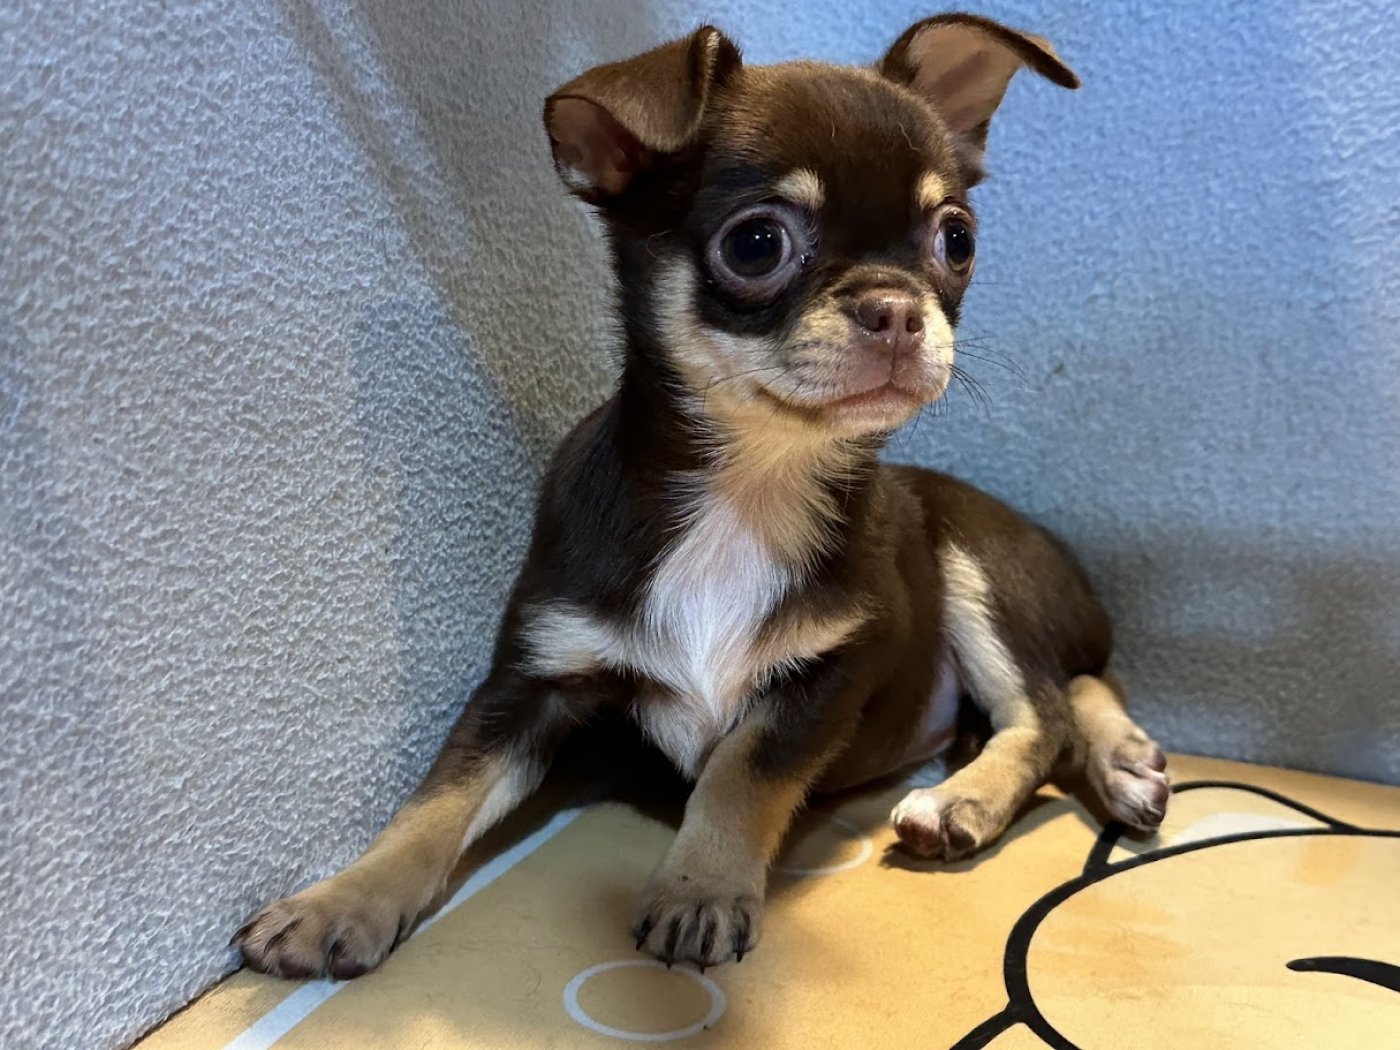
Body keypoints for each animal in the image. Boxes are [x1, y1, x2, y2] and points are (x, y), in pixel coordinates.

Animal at [234, 12, 1170, 980]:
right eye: (756, 244)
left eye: (957, 240)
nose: (899, 308)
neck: (745, 490)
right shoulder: (532, 680)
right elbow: (438, 797)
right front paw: (341, 900)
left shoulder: (825, 678)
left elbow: (738, 773)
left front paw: (700, 889)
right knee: (1076, 683)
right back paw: (1126, 761)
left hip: (971, 560)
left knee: (1046, 708)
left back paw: (970, 800)